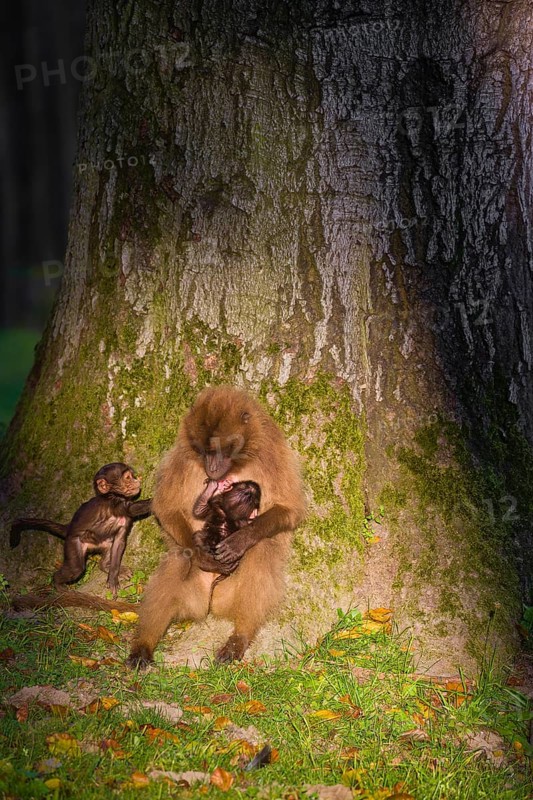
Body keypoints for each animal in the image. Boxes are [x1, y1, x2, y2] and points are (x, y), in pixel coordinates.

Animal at [10, 463, 151, 598]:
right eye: (127, 478)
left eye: (132, 476)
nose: (137, 480)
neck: (111, 496)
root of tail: (69, 527)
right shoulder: (115, 505)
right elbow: (132, 509)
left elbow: (119, 543)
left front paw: (113, 575)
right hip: (73, 543)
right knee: (76, 568)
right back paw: (57, 584)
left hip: (102, 542)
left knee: (107, 549)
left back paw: (105, 565)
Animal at [127, 385, 306, 668]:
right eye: (205, 451)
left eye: (219, 450)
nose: (211, 468)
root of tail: (210, 601)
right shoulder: (183, 453)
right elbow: (165, 507)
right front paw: (203, 553)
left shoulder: (272, 450)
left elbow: (291, 509)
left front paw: (242, 538)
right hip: (193, 600)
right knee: (180, 556)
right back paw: (143, 644)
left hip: (227, 598)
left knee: (262, 549)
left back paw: (239, 636)